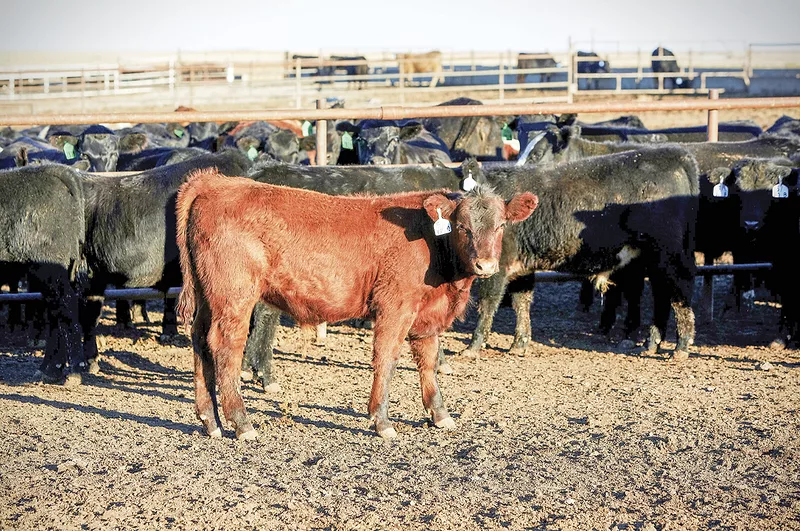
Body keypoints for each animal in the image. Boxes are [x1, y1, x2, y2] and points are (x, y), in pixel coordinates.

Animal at [176, 170, 537, 439]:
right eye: (462, 227)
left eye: (500, 225)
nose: (486, 266)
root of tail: (216, 182)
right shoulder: (395, 305)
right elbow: (386, 359)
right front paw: (382, 420)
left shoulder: (425, 316)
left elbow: (429, 362)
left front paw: (439, 414)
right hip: (234, 296)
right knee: (226, 346)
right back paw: (241, 422)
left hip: (208, 297)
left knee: (200, 342)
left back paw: (210, 421)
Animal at [461, 145, 700, 360]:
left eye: (497, 225)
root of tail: (677, 154)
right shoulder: (521, 267)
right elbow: (522, 302)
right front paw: (519, 345)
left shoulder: (496, 265)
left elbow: (487, 303)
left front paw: (473, 347)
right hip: (653, 258)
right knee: (662, 295)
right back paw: (651, 344)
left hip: (669, 255)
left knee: (680, 290)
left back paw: (681, 348)